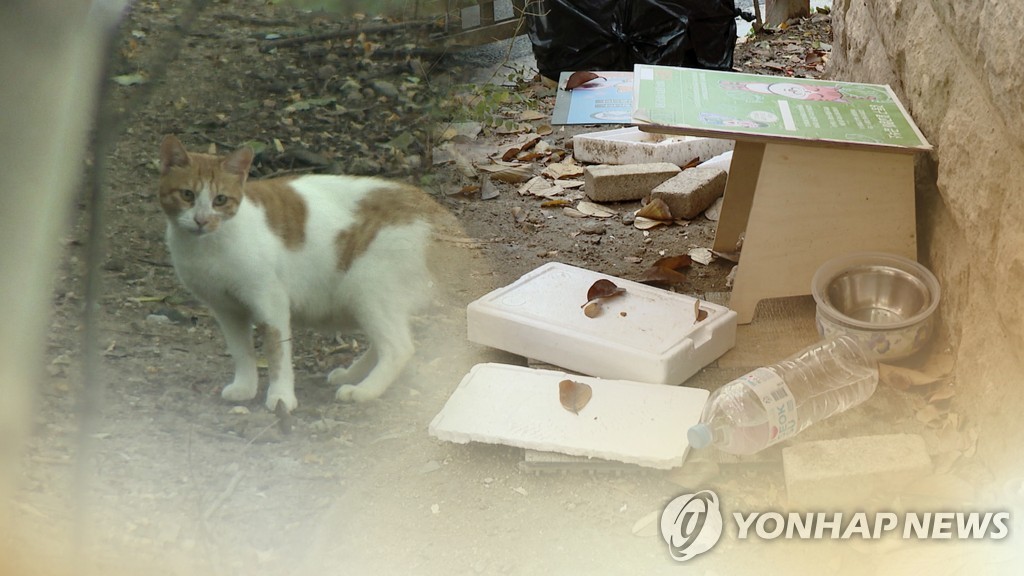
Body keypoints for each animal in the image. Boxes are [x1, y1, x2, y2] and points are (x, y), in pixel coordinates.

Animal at [157, 134, 438, 409]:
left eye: (220, 200)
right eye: (187, 195)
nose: (201, 220)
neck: (207, 248)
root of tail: (432, 209)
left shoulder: (270, 302)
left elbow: (277, 352)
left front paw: (281, 396)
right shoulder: (226, 309)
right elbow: (241, 351)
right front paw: (245, 387)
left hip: (367, 288)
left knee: (399, 347)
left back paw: (364, 390)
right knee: (383, 343)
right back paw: (351, 375)